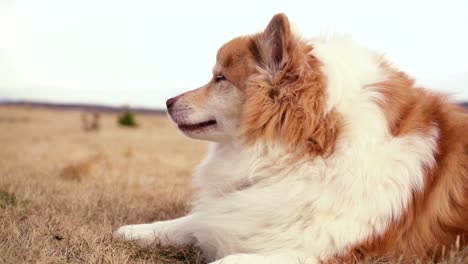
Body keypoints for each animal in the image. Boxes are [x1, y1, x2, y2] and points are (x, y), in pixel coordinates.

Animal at [114, 13, 468, 262]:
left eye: (220, 79)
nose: (167, 102)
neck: (312, 146)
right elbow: (186, 222)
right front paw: (130, 231)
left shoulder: (325, 251)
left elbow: (226, 259)